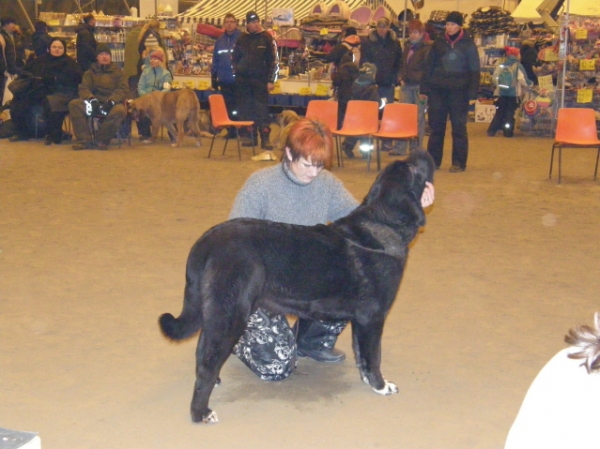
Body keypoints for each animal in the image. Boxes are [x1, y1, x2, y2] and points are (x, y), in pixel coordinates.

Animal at [157, 150, 434, 424]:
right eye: (411, 169)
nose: (422, 151)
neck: (384, 223)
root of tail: (206, 241)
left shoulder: (361, 319)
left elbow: (361, 354)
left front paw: (368, 380)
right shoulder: (373, 317)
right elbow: (374, 356)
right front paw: (381, 385)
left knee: (202, 349)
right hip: (231, 313)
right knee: (208, 361)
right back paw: (200, 412)